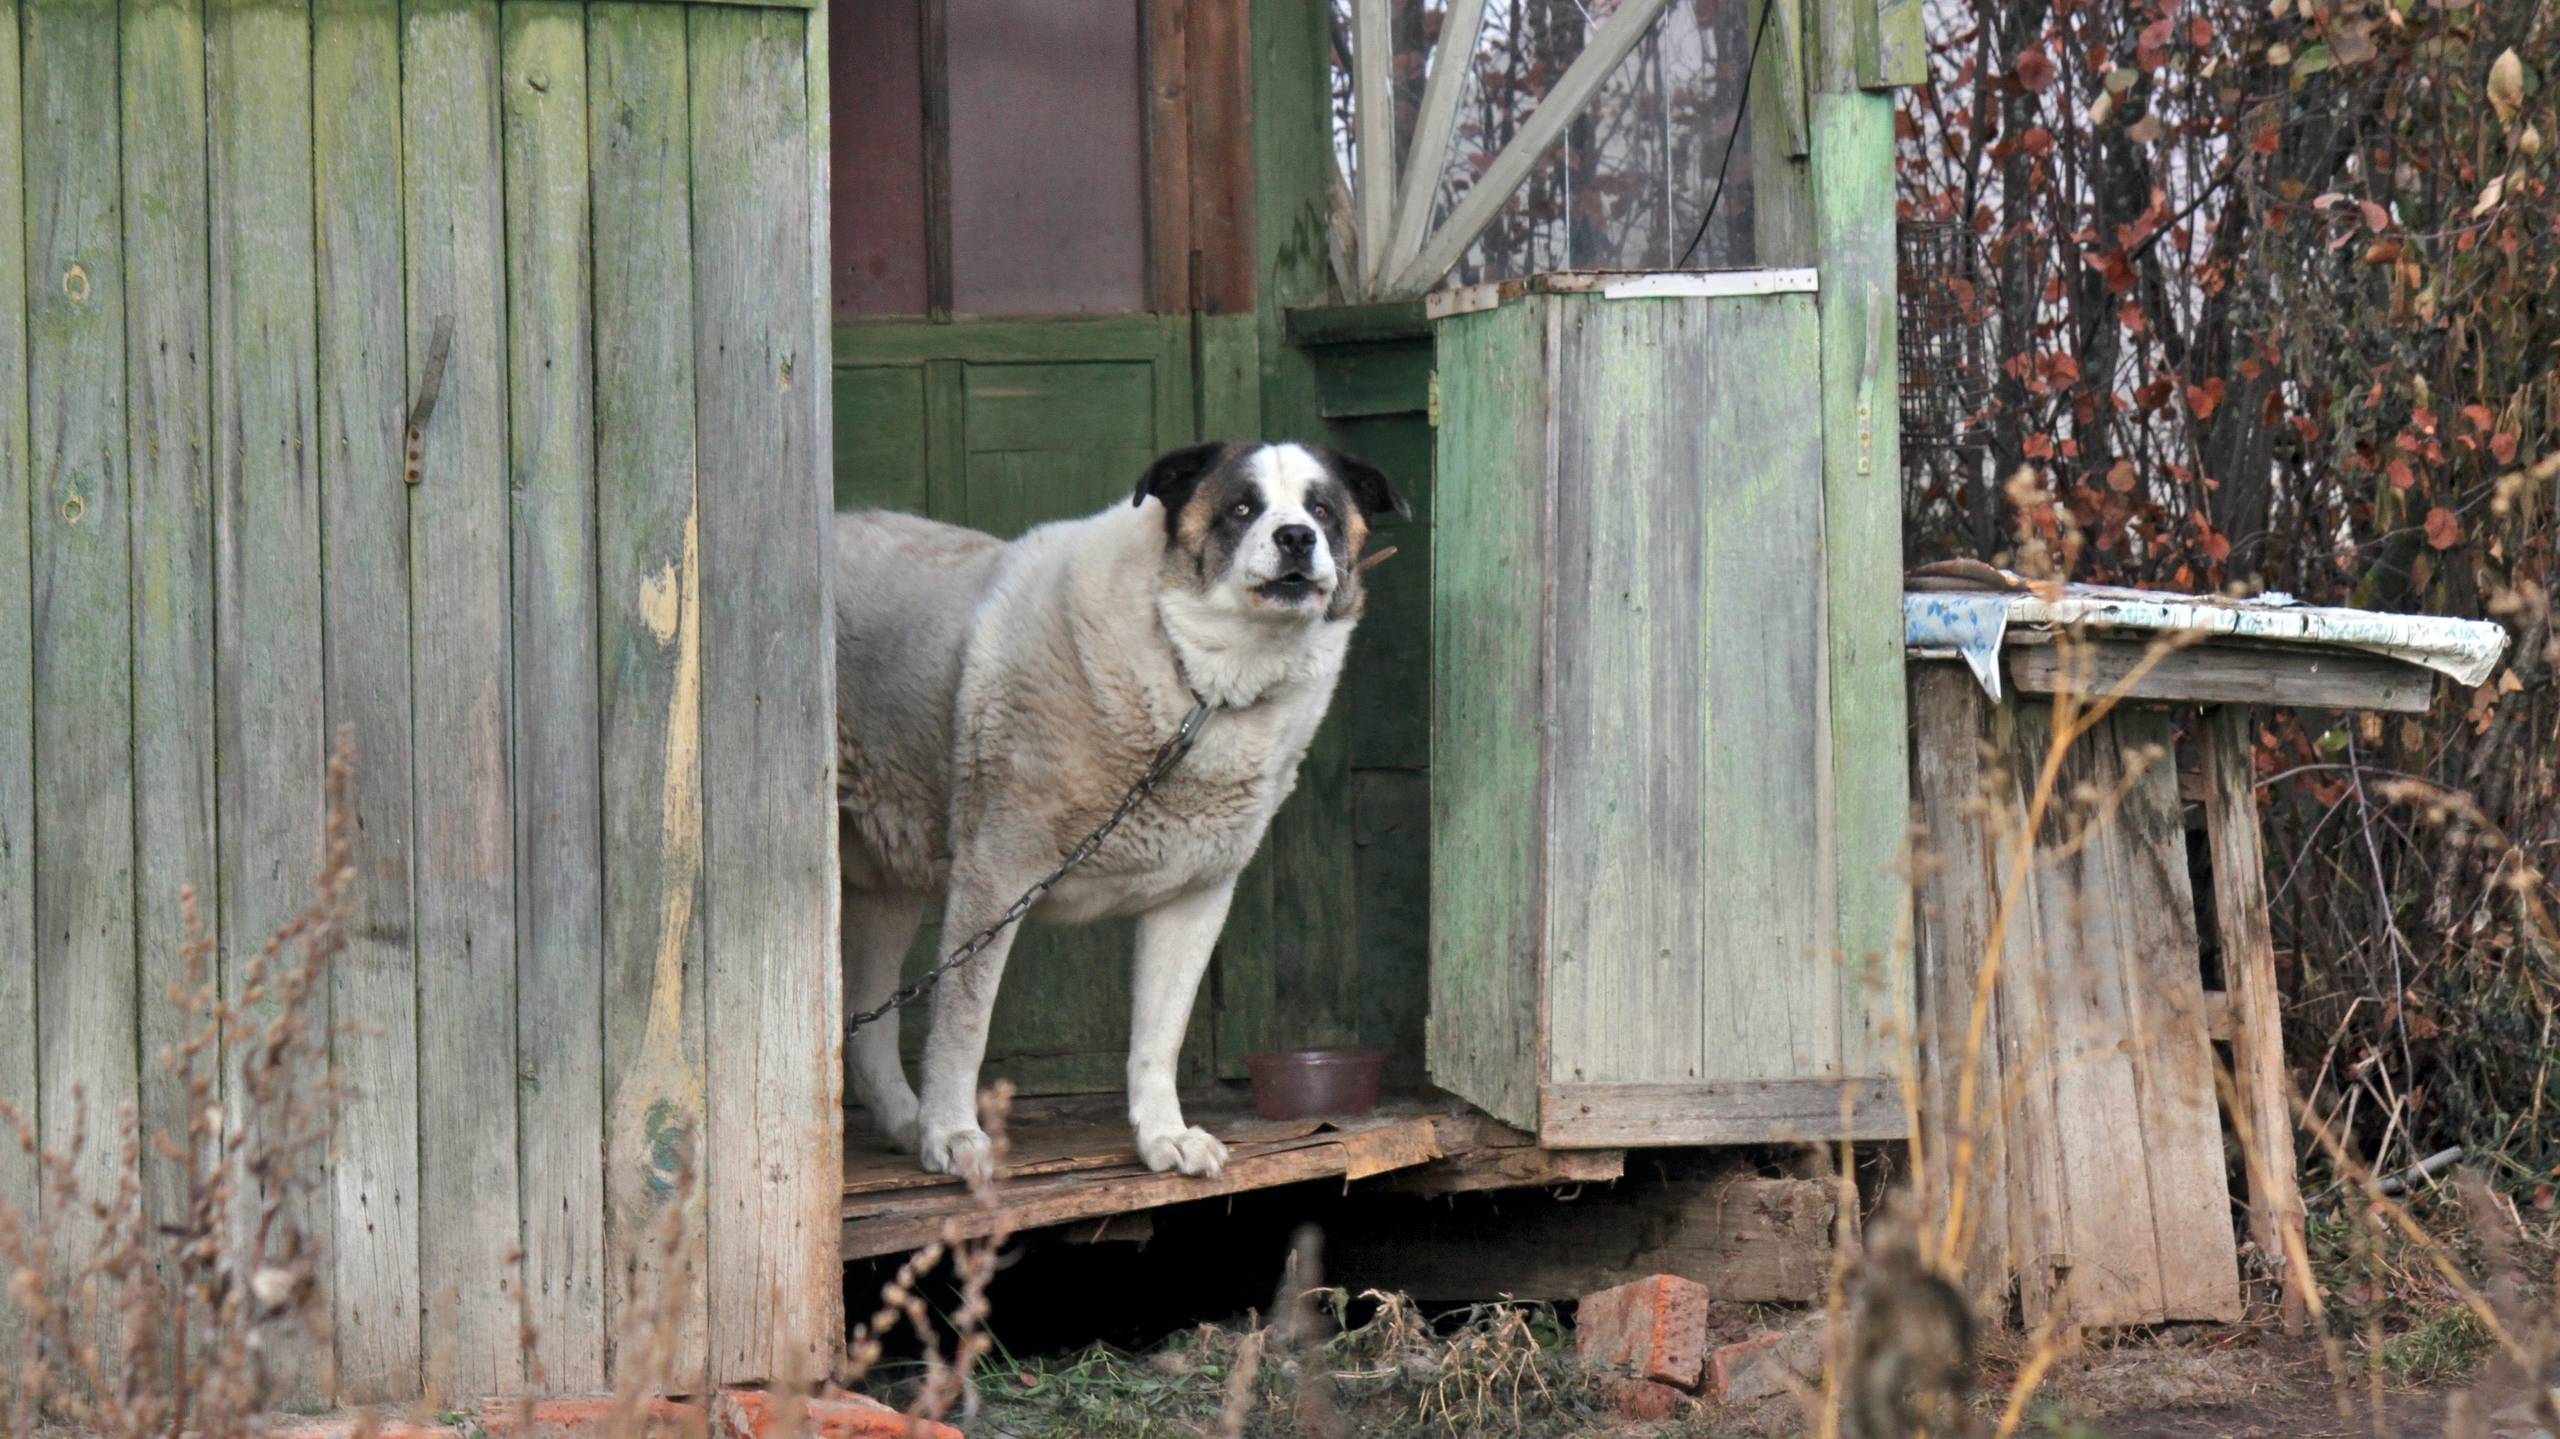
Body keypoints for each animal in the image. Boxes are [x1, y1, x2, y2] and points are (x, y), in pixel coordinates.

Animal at [834, 440, 1402, 1177]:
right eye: (1241, 508)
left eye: (1323, 509)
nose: (1297, 538)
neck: (1200, 688)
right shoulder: (995, 877)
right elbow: (966, 1021)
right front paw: (954, 1133)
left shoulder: (1195, 899)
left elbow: (1160, 1036)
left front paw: (1165, 1136)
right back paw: (923, 1127)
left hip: (888, 883)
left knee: (866, 1020)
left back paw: (907, 1124)